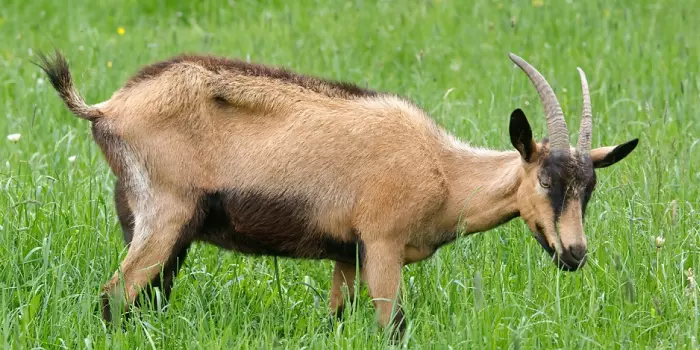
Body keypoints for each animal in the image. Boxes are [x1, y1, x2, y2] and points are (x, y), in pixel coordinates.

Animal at [37, 50, 640, 334]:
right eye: (546, 179)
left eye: (589, 188)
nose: (574, 254)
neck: (443, 169)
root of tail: (107, 108)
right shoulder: (382, 245)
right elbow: (391, 326)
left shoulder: (346, 254)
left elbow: (337, 322)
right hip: (164, 215)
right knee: (114, 297)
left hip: (156, 225)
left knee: (145, 298)